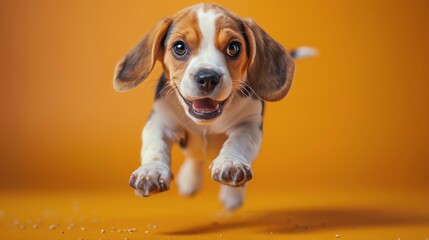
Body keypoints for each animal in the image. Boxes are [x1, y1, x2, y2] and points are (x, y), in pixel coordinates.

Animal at [113, 3, 314, 210]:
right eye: (179, 47)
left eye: (233, 47)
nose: (207, 78)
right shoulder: (160, 121)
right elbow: (155, 145)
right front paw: (150, 171)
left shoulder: (249, 124)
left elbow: (238, 142)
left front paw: (231, 163)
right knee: (195, 157)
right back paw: (190, 180)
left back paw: (231, 195)